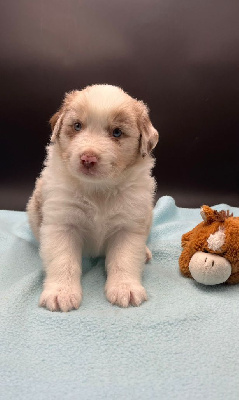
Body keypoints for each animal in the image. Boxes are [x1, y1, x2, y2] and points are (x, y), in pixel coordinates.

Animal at [27, 84, 159, 310]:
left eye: (117, 132)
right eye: (77, 126)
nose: (88, 158)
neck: (98, 190)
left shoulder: (128, 226)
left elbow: (124, 259)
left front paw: (125, 288)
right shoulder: (61, 224)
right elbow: (64, 261)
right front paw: (61, 293)